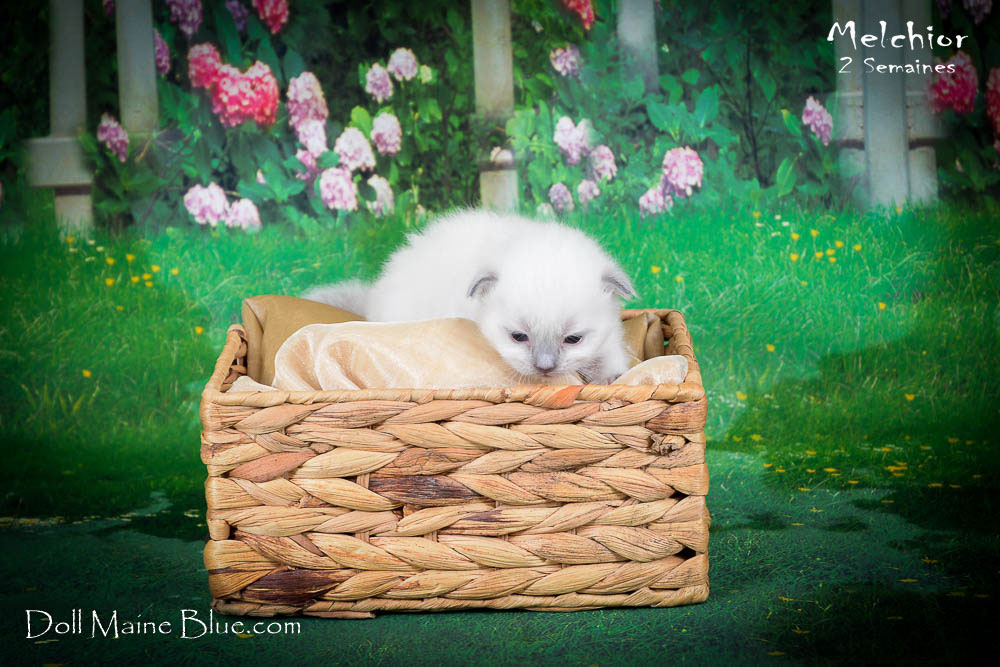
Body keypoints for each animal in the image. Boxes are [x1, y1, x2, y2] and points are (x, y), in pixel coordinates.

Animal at [303, 209, 636, 384]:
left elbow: (609, 355)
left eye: (573, 339)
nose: (545, 368)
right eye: (518, 337)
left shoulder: (607, 336)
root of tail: (373, 297)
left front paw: (609, 377)